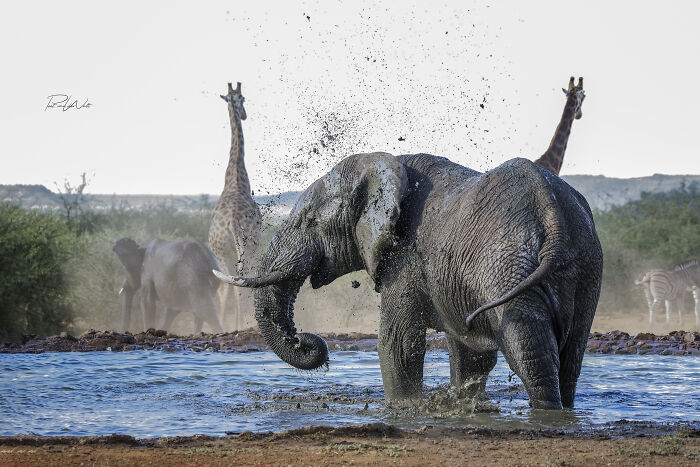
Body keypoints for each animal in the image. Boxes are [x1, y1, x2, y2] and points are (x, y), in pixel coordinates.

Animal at [214, 152, 603, 409]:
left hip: (506, 267)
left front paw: (403, 411)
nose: (309, 342)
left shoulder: (405, 257)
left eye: (306, 221)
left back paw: (545, 414)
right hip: (584, 272)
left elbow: (397, 343)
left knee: (529, 354)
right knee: (570, 359)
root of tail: (551, 208)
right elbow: (468, 353)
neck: (384, 166)